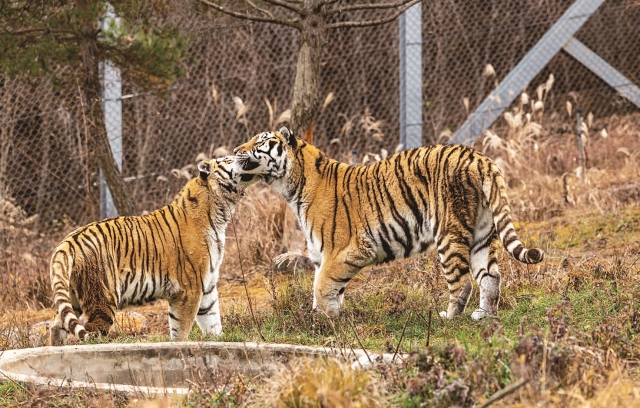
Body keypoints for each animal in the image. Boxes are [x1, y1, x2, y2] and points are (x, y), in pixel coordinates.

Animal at [49, 155, 260, 344]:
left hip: (72, 296)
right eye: (228, 159)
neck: (220, 212)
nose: (245, 155)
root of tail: (68, 241)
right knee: (92, 331)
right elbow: (182, 328)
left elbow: (212, 321)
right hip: (103, 298)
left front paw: (218, 341)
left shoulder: (207, 286)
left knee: (57, 324)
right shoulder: (189, 289)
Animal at [232, 129, 544, 320]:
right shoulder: (324, 256)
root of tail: (479, 157)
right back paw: (485, 315)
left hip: (449, 232)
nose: (235, 149)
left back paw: (449, 317)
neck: (293, 186)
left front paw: (324, 319)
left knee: (463, 282)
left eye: (259, 142)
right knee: (491, 276)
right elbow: (328, 287)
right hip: (482, 232)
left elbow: (321, 286)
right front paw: (328, 316)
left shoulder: (346, 251)